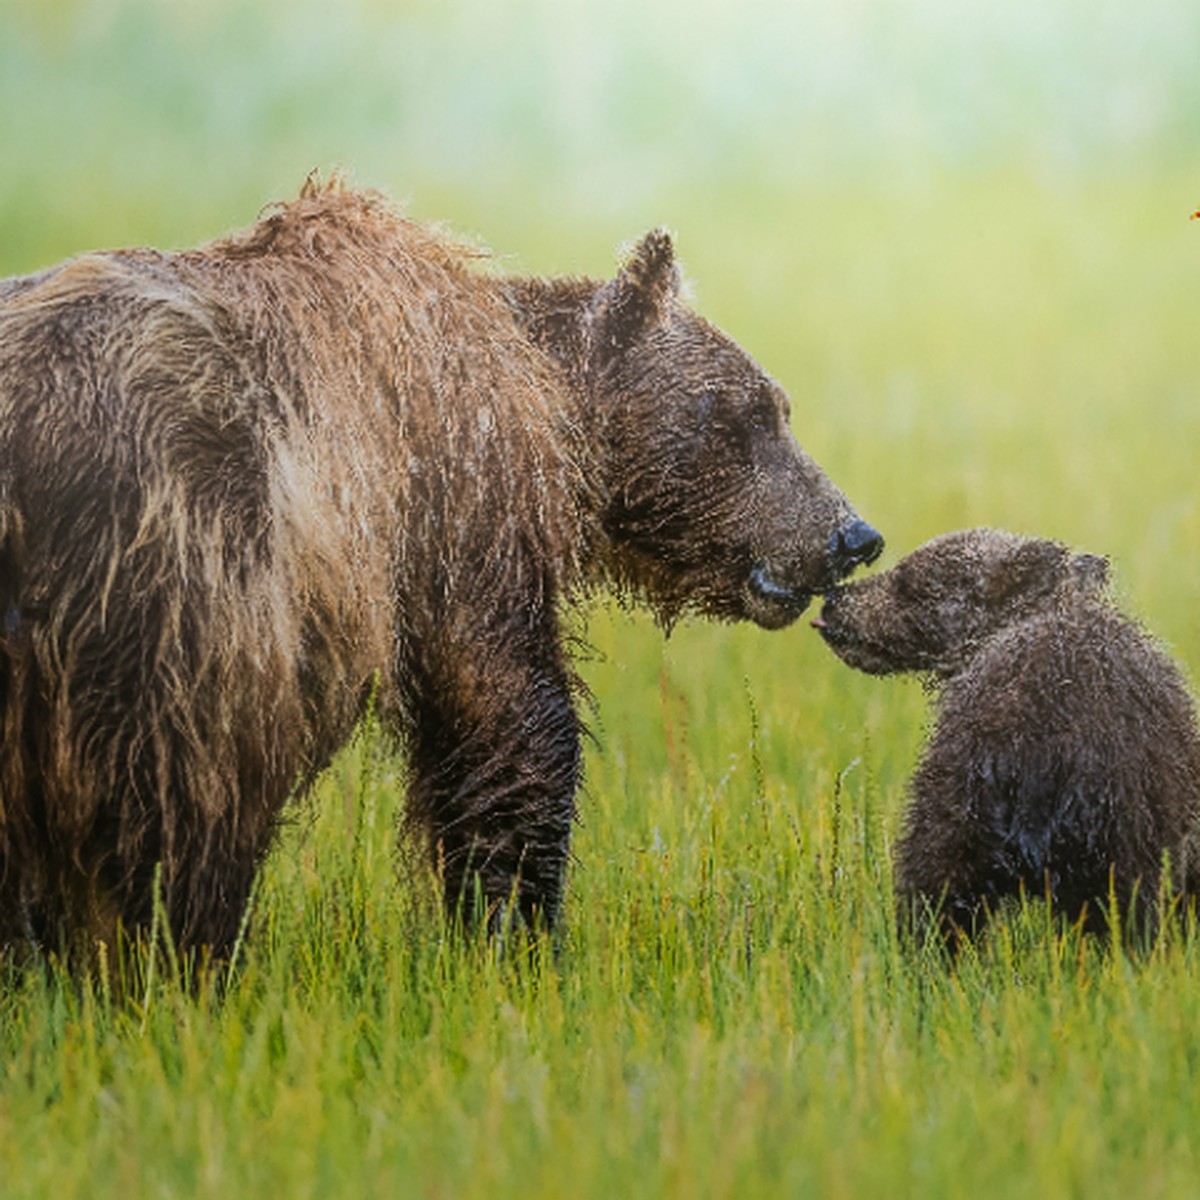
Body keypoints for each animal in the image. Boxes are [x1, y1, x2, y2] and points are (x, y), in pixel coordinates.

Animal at [0, 175, 883, 955]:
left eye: (779, 408)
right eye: (749, 414)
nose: (853, 534)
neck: (548, 403)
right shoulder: (454, 492)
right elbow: (505, 713)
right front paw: (516, 929)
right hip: (179, 574)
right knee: (185, 792)